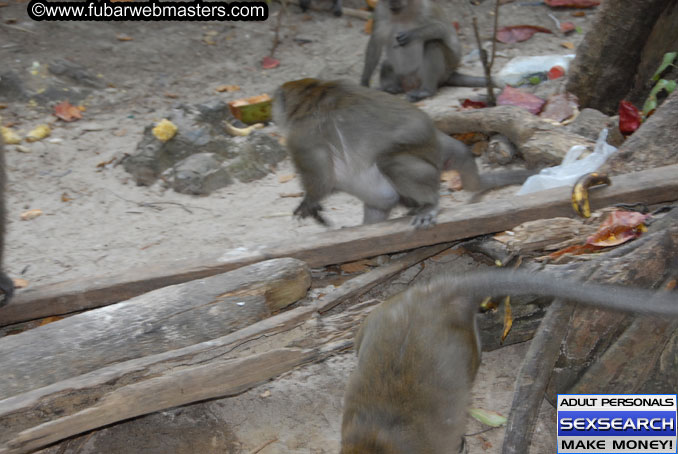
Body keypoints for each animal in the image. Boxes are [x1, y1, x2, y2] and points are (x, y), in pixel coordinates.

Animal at [272, 78, 532, 229]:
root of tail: (439, 139)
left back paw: (429, 204)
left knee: (390, 162)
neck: (310, 95)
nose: (273, 113)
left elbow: (322, 180)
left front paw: (309, 203)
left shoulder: (302, 136)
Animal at [364, 0, 492, 101]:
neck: (403, 13)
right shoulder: (379, 11)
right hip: (403, 74)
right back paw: (390, 88)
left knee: (433, 44)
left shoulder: (426, 9)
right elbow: (375, 42)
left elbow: (442, 29)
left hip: (442, 70)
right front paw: (364, 83)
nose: (393, 3)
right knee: (388, 63)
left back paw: (426, 91)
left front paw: (413, 34)